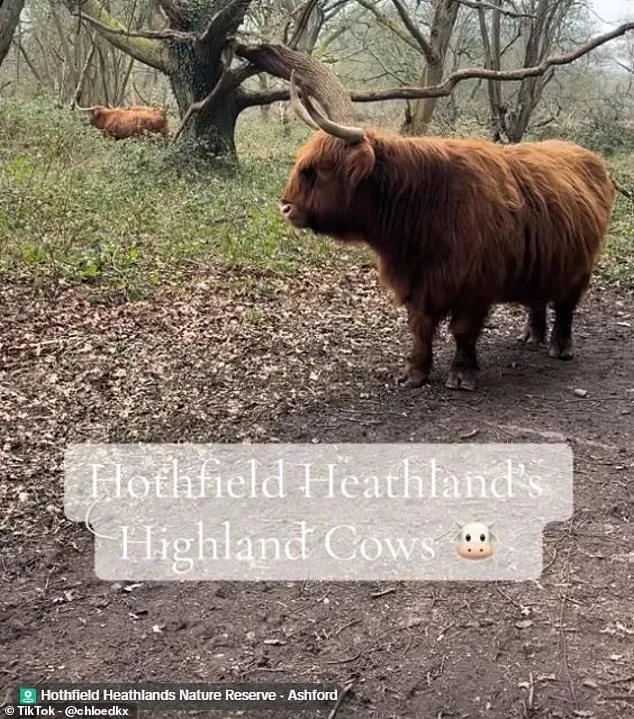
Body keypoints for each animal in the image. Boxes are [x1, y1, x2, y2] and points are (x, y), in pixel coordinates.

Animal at [279, 72, 616, 391]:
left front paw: (462, 373)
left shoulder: (475, 282)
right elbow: (421, 328)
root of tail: (589, 157)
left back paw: (561, 346)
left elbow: (463, 330)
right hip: (544, 259)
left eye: (317, 171)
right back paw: (532, 336)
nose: (285, 207)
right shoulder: (417, 281)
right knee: (539, 298)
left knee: (566, 304)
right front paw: (415, 373)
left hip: (580, 264)